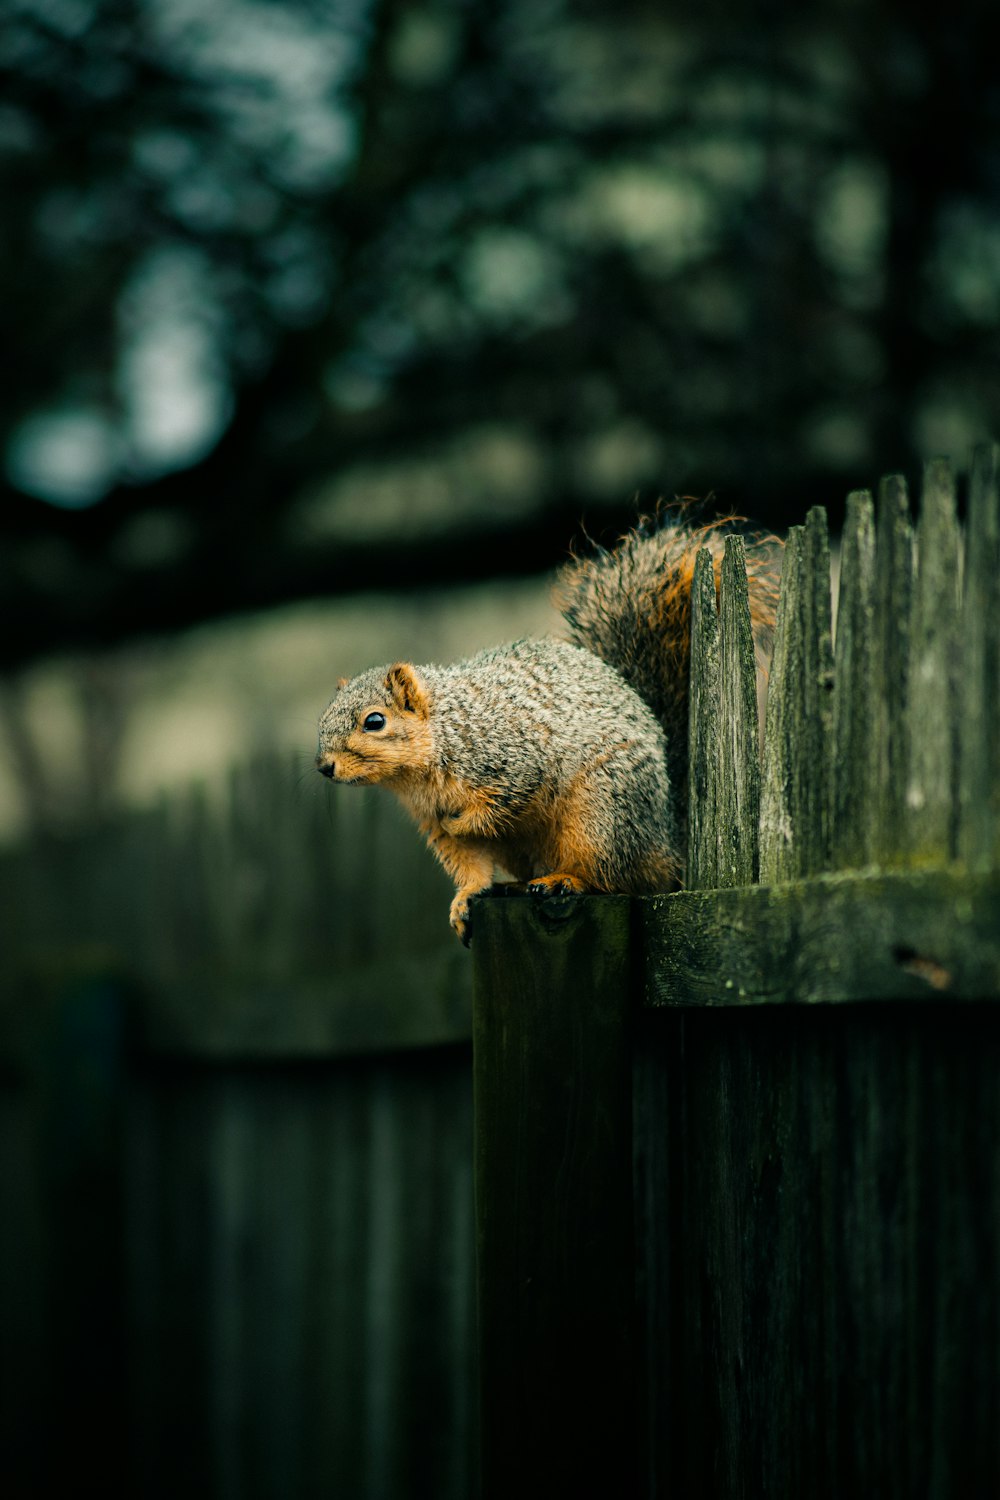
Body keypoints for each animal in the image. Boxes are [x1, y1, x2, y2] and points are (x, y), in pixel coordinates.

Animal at [316, 510, 779, 942]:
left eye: (375, 721)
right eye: (322, 719)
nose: (324, 767)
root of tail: (669, 836)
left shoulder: (514, 758)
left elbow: (502, 802)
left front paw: (462, 820)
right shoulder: (432, 819)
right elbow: (470, 864)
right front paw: (465, 898)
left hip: (602, 811)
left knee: (615, 875)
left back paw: (565, 879)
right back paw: (518, 885)